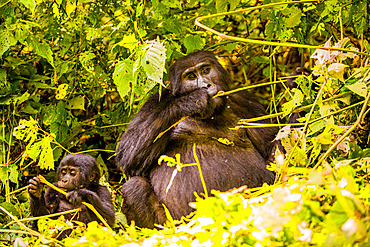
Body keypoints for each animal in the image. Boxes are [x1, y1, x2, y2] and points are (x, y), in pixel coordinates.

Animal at [117, 50, 276, 228]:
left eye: (206, 70)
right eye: (191, 76)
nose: (206, 85)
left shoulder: (245, 101)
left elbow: (271, 150)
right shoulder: (156, 101)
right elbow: (129, 155)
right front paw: (191, 100)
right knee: (135, 187)